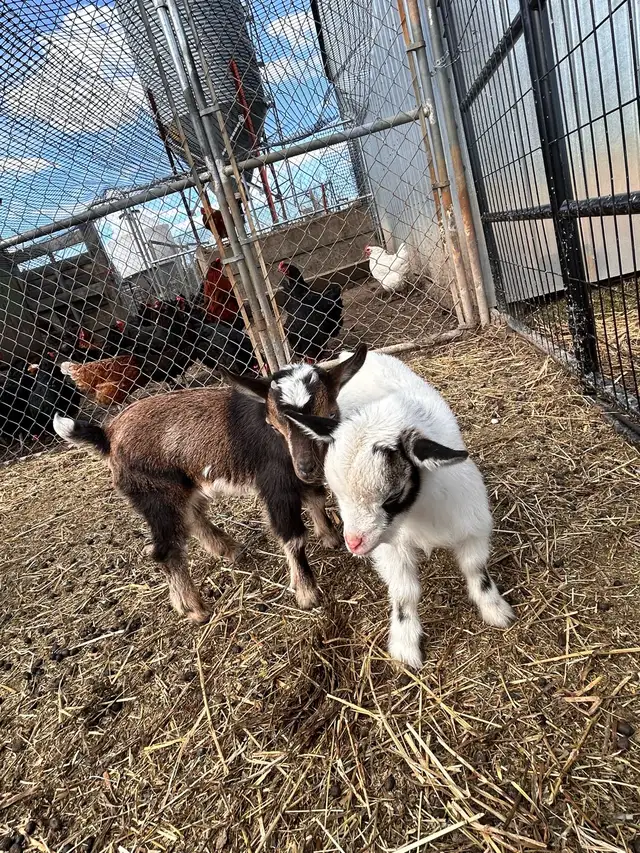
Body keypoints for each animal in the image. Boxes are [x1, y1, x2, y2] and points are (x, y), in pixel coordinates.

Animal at [53, 346, 367, 625]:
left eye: (329, 413)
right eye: (273, 423)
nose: (305, 466)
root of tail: (108, 434)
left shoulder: (301, 477)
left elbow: (316, 497)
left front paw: (329, 536)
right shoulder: (275, 481)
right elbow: (293, 535)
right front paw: (307, 593)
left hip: (182, 484)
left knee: (192, 516)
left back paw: (228, 549)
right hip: (154, 494)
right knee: (166, 548)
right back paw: (194, 609)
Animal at [286, 350, 514, 669]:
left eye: (393, 496)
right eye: (338, 494)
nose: (353, 543)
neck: (418, 513)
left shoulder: (471, 522)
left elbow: (475, 568)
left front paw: (495, 610)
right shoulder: (391, 547)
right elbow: (405, 593)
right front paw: (405, 646)